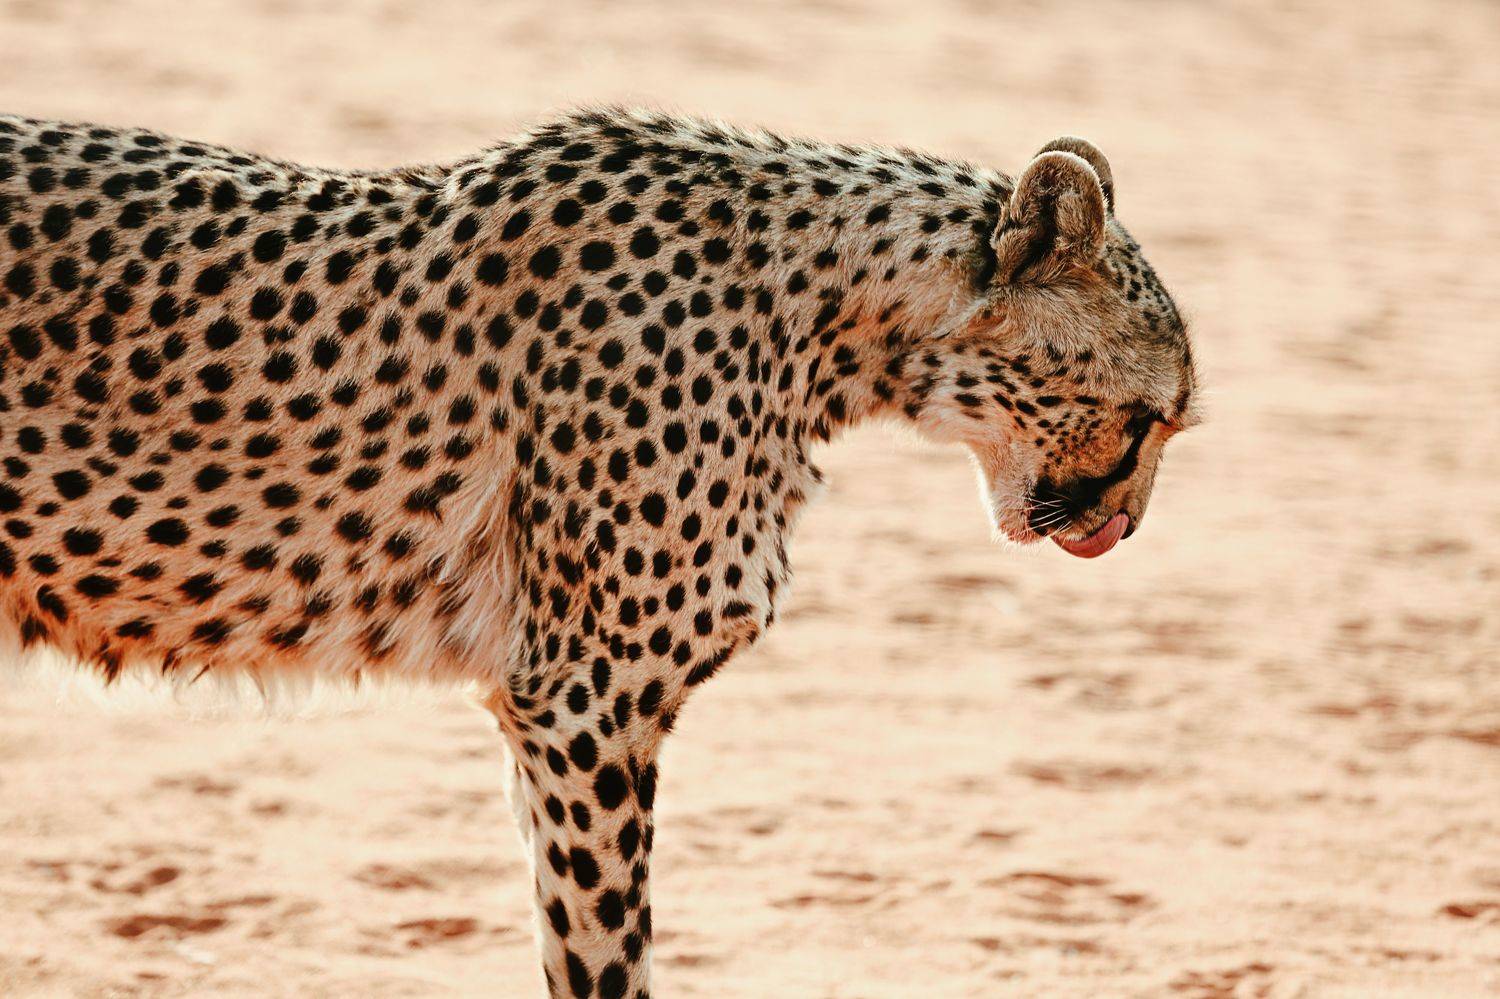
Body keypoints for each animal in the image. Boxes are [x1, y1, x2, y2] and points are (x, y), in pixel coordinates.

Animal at [0, 105, 1198, 997]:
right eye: (1151, 418)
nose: (1123, 529)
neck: (823, 317)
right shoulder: (584, 699)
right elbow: (602, 949)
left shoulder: (571, 706)